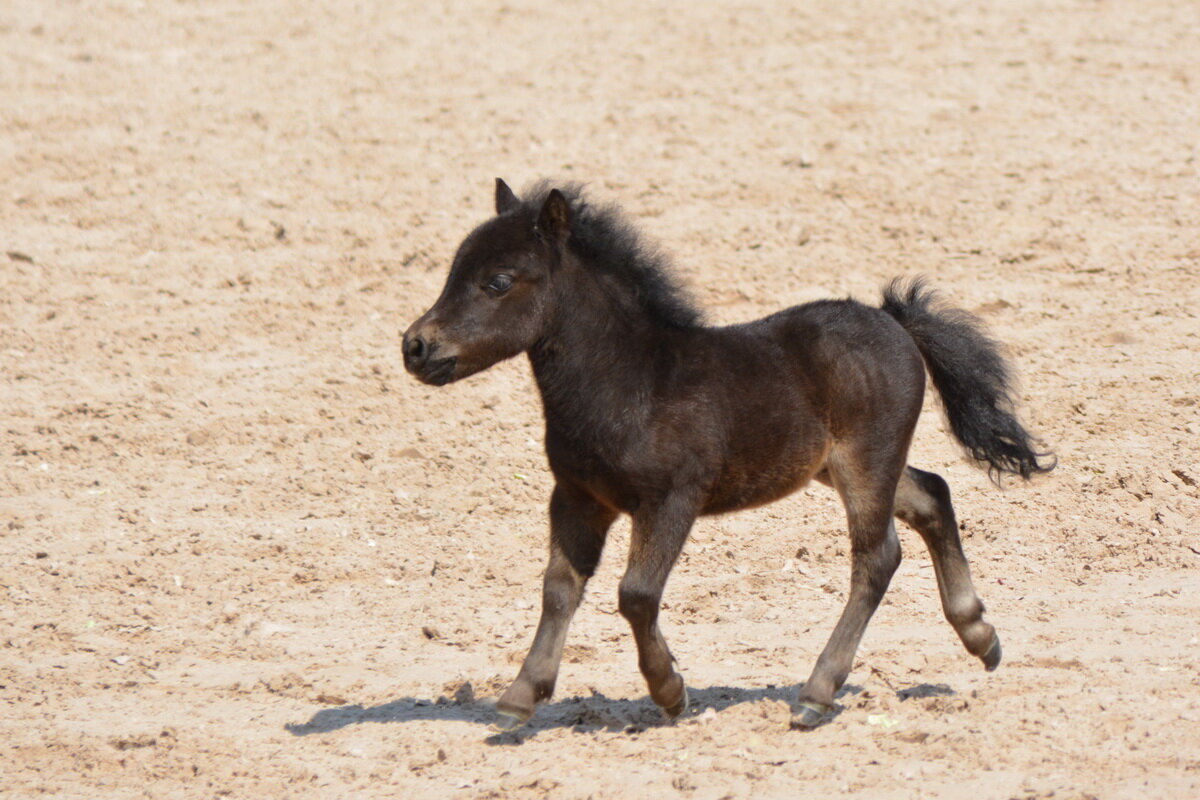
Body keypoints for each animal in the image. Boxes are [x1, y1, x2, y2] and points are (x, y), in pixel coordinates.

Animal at [400, 178, 1051, 729]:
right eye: (453, 272)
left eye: (499, 281)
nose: (415, 346)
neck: (630, 382)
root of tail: (894, 321)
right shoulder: (578, 497)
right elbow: (560, 588)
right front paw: (520, 696)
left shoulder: (671, 498)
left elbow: (635, 594)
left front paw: (670, 691)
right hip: (840, 465)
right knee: (931, 494)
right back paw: (980, 635)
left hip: (864, 460)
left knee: (877, 557)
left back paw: (816, 693)